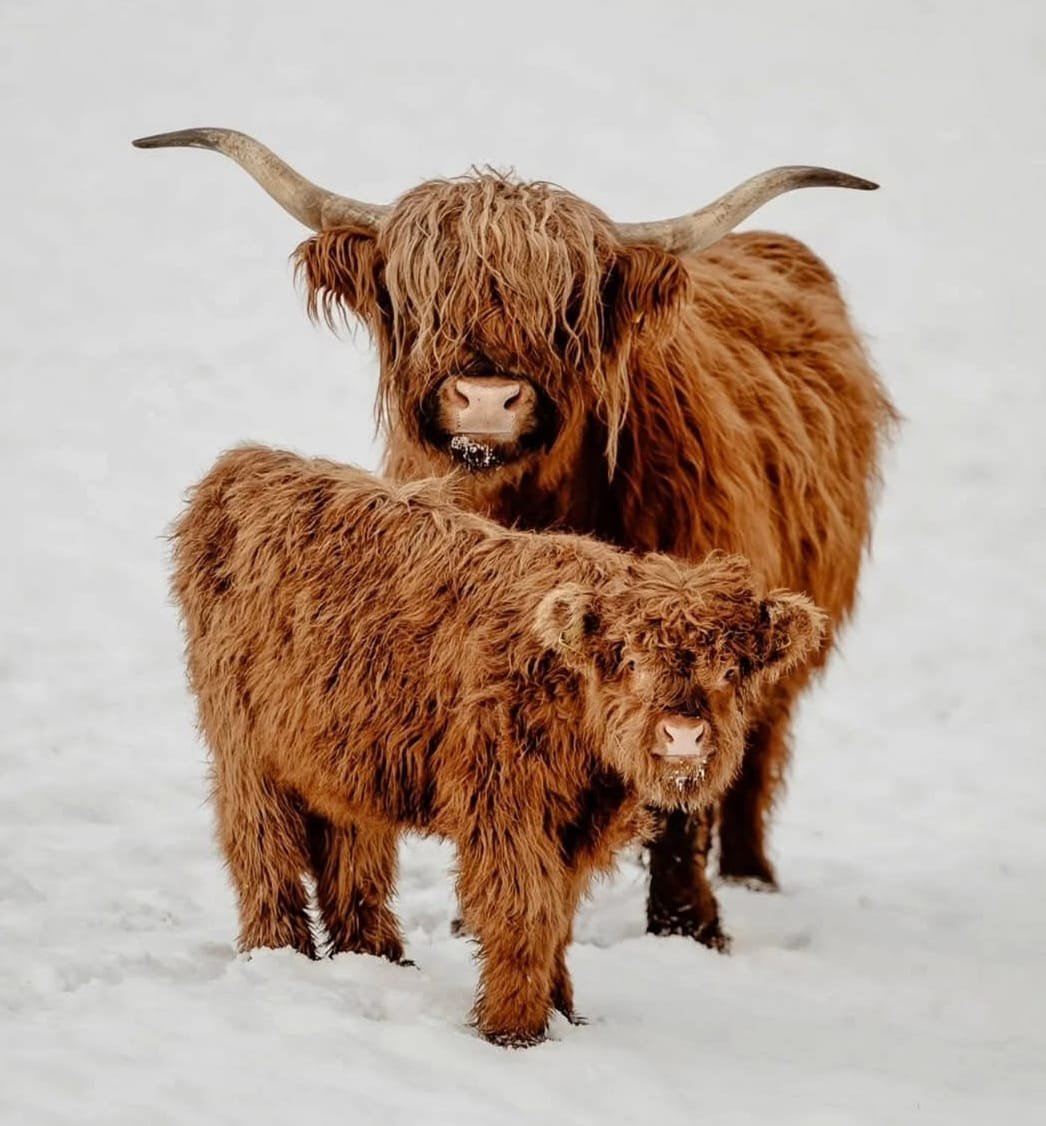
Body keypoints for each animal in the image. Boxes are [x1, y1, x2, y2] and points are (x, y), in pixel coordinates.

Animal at [134, 125, 891, 950]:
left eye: (565, 307)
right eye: (420, 295)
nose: (487, 398)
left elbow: (685, 791)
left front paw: (689, 926)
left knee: (758, 753)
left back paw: (750, 874)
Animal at [171, 445, 824, 1044]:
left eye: (731, 671)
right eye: (632, 662)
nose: (683, 733)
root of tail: (248, 462)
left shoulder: (577, 829)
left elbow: (558, 915)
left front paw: (565, 1012)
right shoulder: (506, 812)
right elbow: (523, 912)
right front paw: (514, 1030)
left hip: (343, 759)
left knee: (353, 856)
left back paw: (379, 956)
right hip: (246, 752)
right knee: (263, 847)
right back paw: (279, 952)